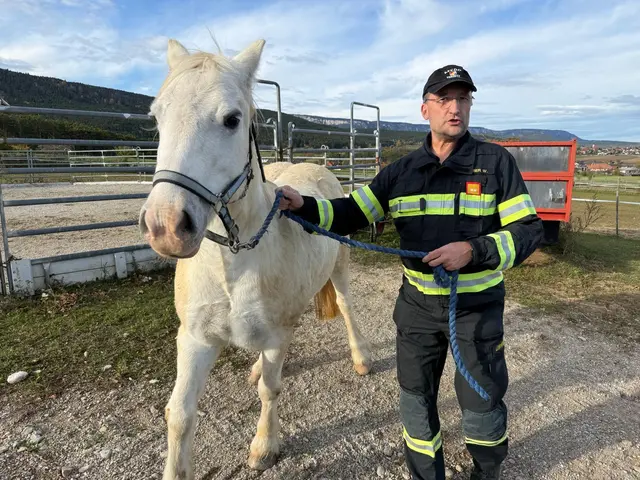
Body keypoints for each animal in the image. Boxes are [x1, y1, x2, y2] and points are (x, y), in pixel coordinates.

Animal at [139, 38, 373, 479]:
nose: (165, 226)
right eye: (157, 116)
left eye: (232, 119)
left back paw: (362, 358)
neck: (233, 260)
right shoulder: (194, 339)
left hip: (340, 268)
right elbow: (179, 414)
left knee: (348, 307)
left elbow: (271, 389)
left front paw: (265, 446)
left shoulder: (278, 334)